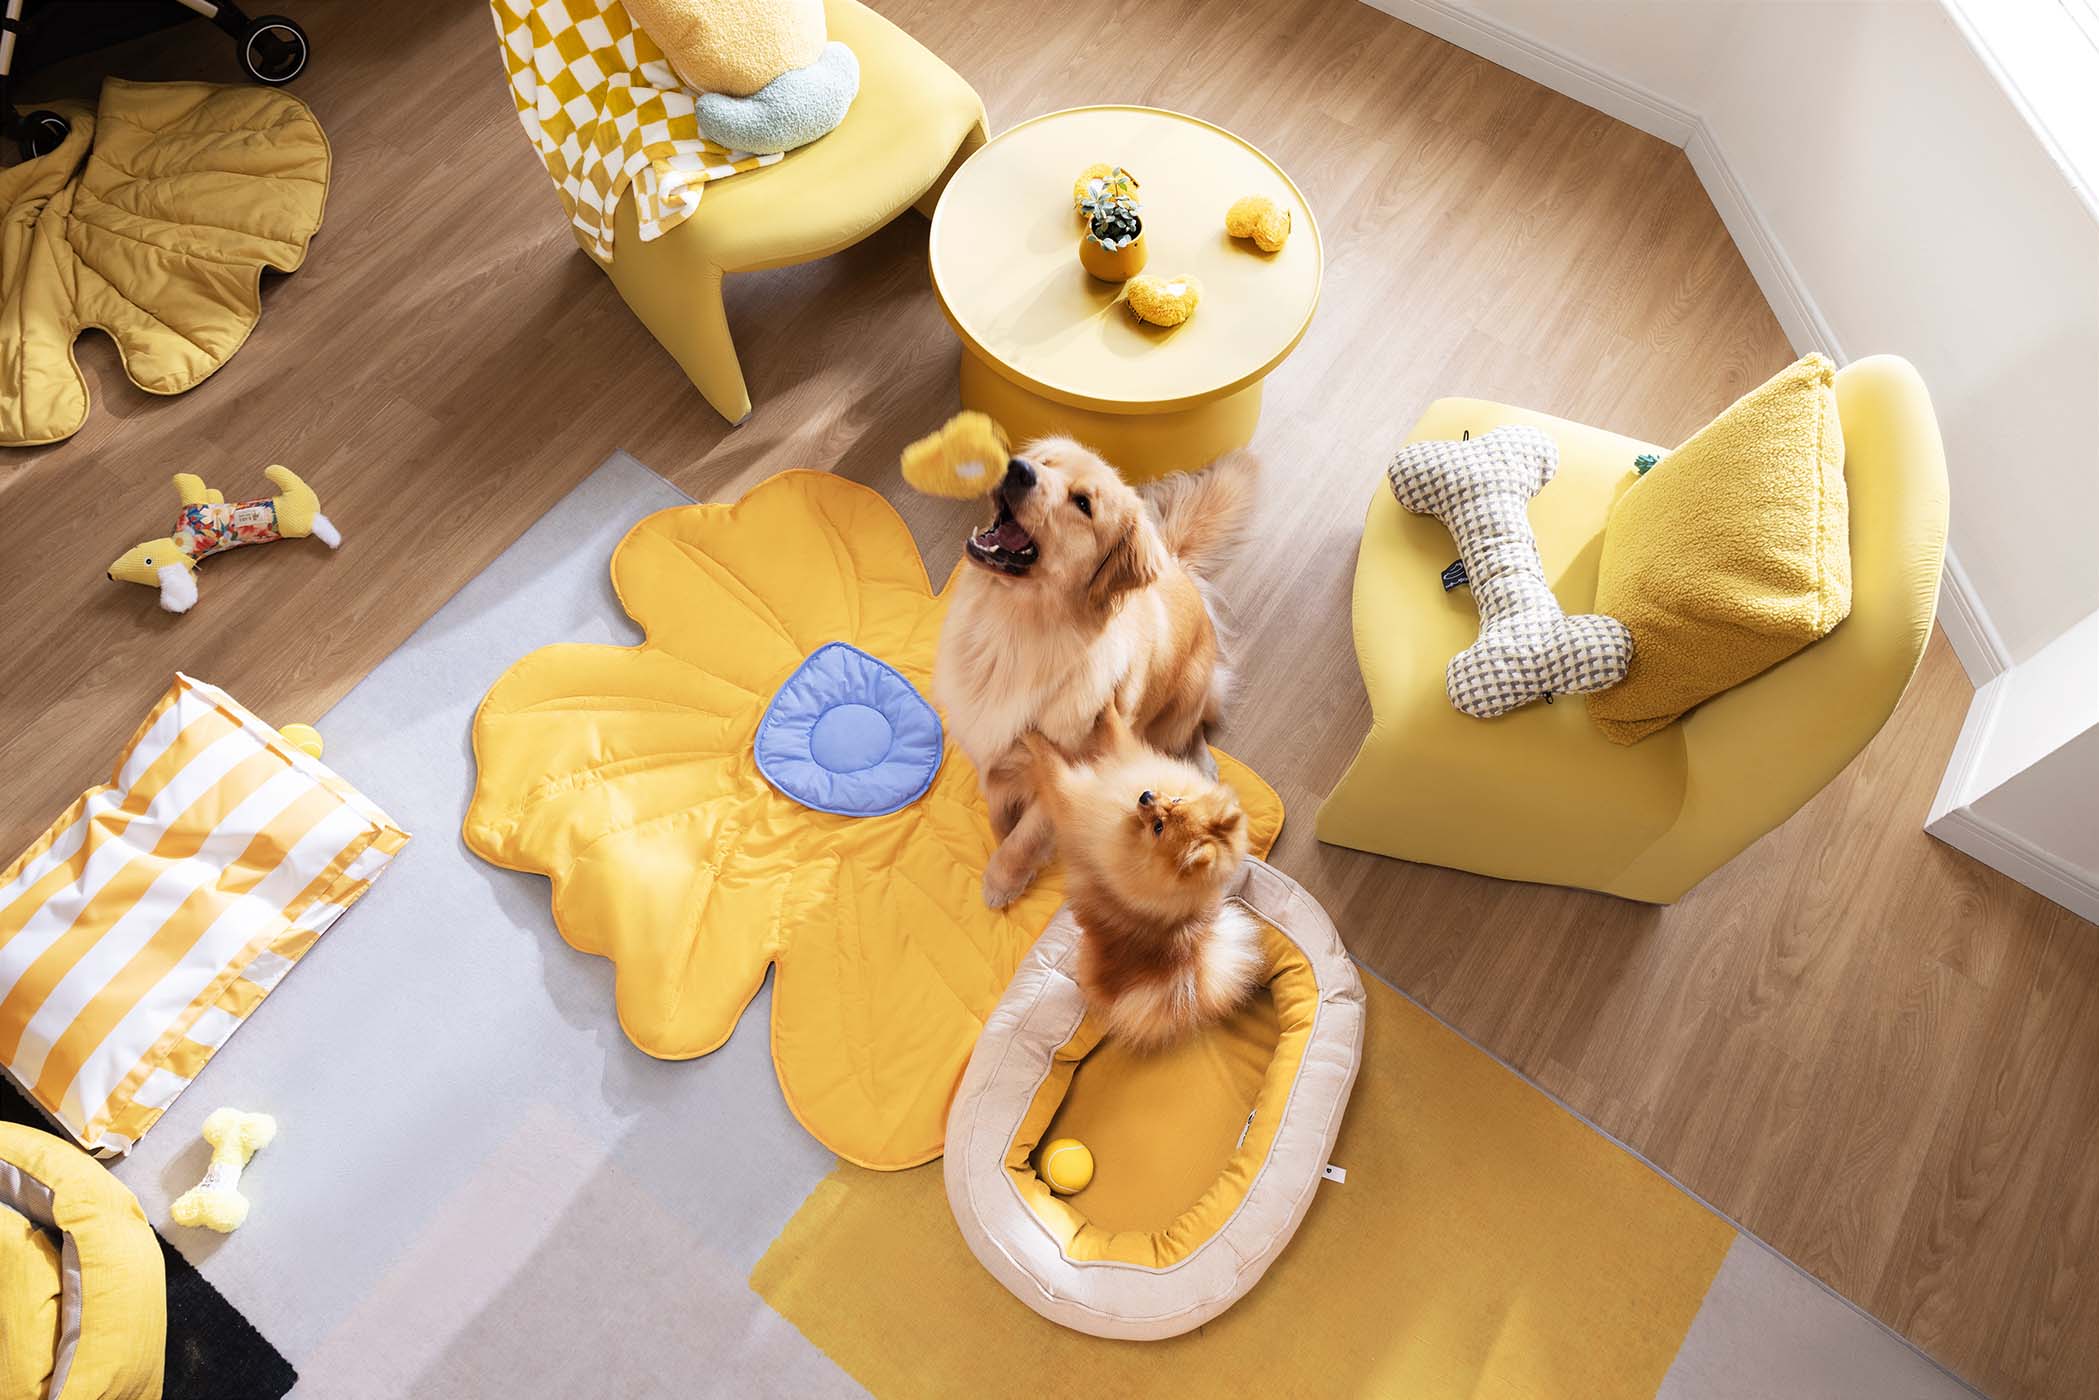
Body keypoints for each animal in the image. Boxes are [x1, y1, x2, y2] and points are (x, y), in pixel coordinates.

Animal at [934, 437, 1259, 907]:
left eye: (1083, 503)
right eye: (1044, 462)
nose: (1017, 470)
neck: (1014, 628)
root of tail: (1175, 563)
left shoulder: (1069, 771)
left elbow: (1026, 838)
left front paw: (1002, 881)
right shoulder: (988, 747)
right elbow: (999, 812)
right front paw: (1001, 834)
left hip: (1186, 696)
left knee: (1192, 726)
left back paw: (1200, 762)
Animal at [1022, 713, 1259, 1050]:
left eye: (1159, 828)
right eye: (1176, 799)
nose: (1145, 795)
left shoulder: (1073, 802)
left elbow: (1051, 763)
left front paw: (1032, 737)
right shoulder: (1126, 758)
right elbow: (1116, 731)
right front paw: (1106, 706)